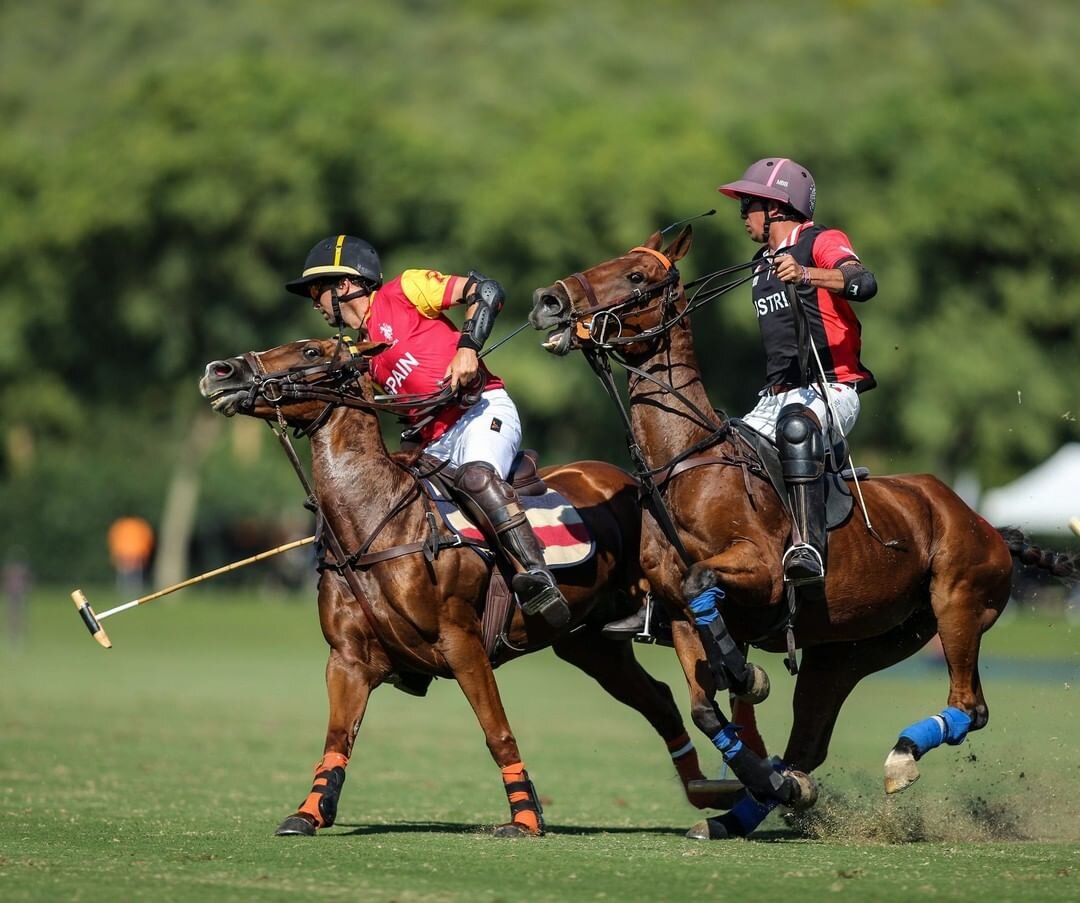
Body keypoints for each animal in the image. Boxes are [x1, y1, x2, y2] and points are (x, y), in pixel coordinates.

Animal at [200, 341, 734, 838]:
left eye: (311, 350)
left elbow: (497, 732)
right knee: (659, 698)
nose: (219, 371)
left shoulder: (463, 643)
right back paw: (706, 789)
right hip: (589, 643)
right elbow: (337, 737)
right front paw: (309, 812)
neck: (375, 522)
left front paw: (525, 818)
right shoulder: (347, 658)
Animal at [531, 225, 1080, 838]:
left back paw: (899, 757)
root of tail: (989, 526)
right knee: (810, 744)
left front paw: (747, 674)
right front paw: (757, 754)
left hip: (958, 604)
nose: (549, 300)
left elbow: (707, 590)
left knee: (971, 705)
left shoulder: (761, 573)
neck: (686, 467)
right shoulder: (675, 613)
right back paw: (753, 805)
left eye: (636, 276)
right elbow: (703, 705)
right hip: (852, 648)